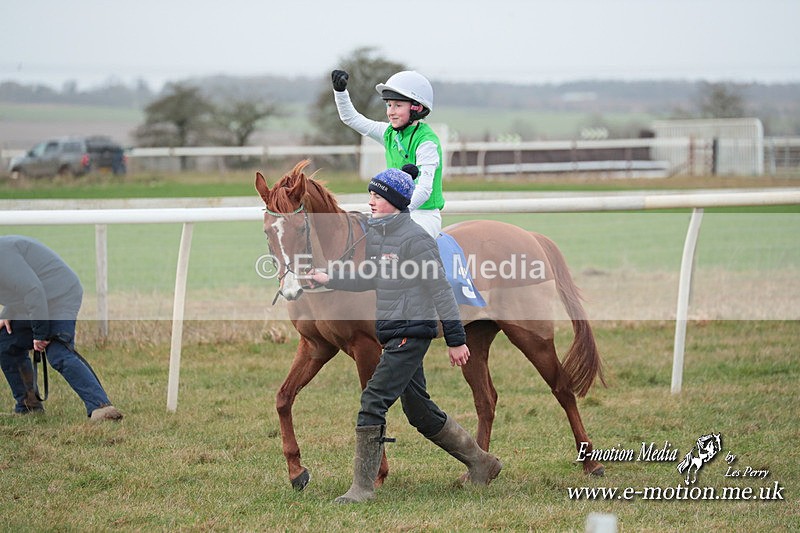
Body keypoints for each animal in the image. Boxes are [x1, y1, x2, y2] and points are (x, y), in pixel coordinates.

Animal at [254, 160, 605, 490]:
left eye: (300, 228)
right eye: (268, 232)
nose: (291, 289)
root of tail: (529, 236)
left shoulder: (365, 347)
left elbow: (372, 405)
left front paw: (377, 474)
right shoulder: (316, 346)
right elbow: (284, 398)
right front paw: (297, 471)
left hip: (531, 333)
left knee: (561, 387)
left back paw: (590, 462)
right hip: (472, 338)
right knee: (486, 399)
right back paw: (478, 470)